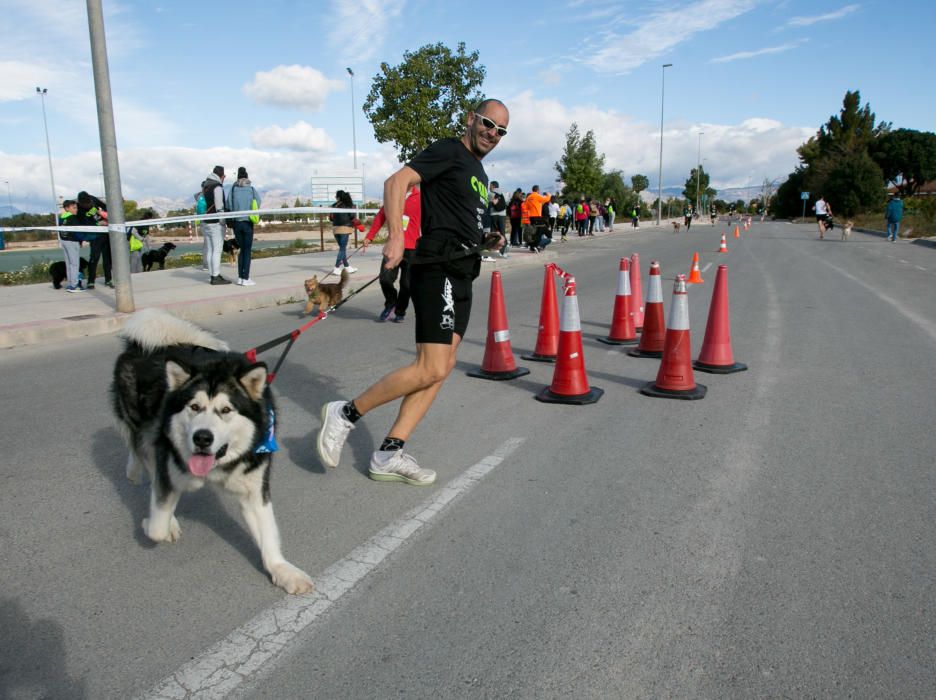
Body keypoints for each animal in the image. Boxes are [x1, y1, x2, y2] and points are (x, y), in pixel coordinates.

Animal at [109, 308, 314, 592]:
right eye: (194, 407)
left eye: (226, 410)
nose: (202, 438)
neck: (218, 465)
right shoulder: (169, 465)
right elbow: (157, 525)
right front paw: (155, 521)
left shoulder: (254, 486)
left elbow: (268, 534)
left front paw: (282, 570)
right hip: (143, 423)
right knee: (142, 450)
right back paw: (136, 471)